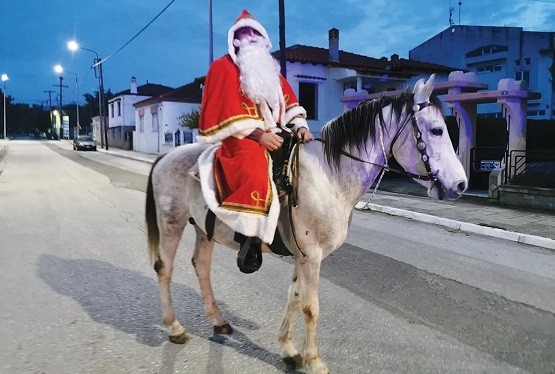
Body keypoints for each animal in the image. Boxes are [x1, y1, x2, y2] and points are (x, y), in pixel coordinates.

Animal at [146, 74, 466, 372]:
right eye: (437, 130)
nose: (461, 185)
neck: (330, 177)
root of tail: (166, 156)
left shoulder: (302, 256)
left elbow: (295, 297)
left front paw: (289, 350)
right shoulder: (312, 256)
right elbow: (311, 307)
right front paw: (313, 360)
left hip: (203, 229)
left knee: (201, 266)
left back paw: (218, 321)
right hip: (172, 223)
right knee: (164, 269)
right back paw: (174, 327)